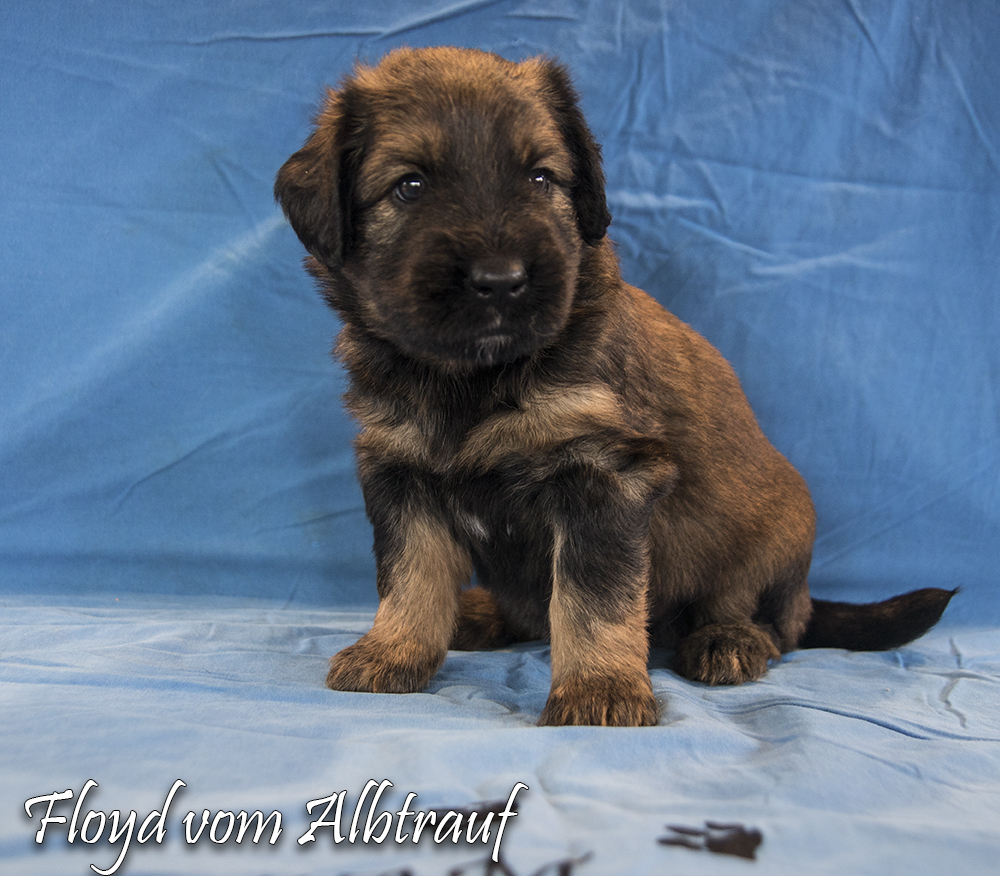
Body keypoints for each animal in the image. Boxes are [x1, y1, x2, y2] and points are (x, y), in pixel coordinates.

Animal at [274, 46, 953, 726]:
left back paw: (728, 639)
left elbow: (590, 598)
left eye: (541, 179)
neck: (476, 379)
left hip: (772, 537)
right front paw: (394, 649)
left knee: (769, 622)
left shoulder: (602, 476)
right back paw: (480, 612)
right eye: (409, 186)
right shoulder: (401, 472)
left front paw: (598, 688)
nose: (501, 280)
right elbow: (411, 576)